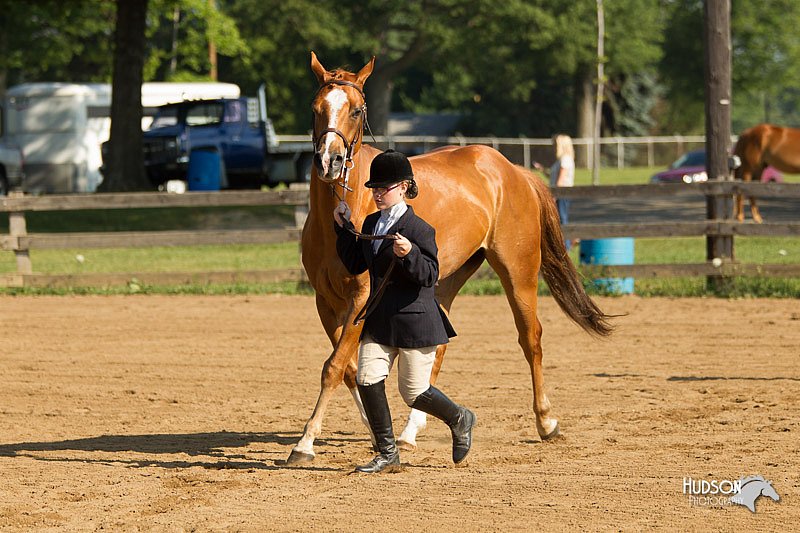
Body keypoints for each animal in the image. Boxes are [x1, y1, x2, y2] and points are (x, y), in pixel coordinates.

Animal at [288, 52, 612, 464]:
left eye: (357, 110)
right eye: (315, 109)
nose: (329, 161)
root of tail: (513, 171)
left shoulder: (362, 298)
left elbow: (333, 367)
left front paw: (304, 443)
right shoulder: (325, 301)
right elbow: (346, 368)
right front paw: (374, 433)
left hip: (519, 272)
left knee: (531, 339)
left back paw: (547, 422)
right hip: (444, 280)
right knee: (436, 347)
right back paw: (411, 432)